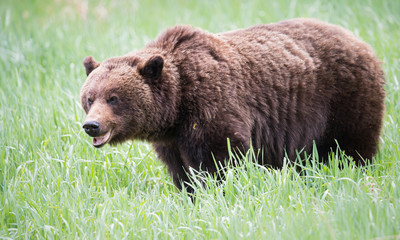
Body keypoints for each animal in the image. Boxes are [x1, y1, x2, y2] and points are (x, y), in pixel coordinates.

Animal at [80, 17, 384, 192]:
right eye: (89, 98)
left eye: (114, 98)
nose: (92, 125)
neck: (176, 106)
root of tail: (360, 41)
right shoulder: (172, 139)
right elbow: (181, 170)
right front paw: (190, 193)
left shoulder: (211, 104)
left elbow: (221, 157)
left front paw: (218, 191)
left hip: (342, 98)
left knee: (351, 145)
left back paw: (354, 171)